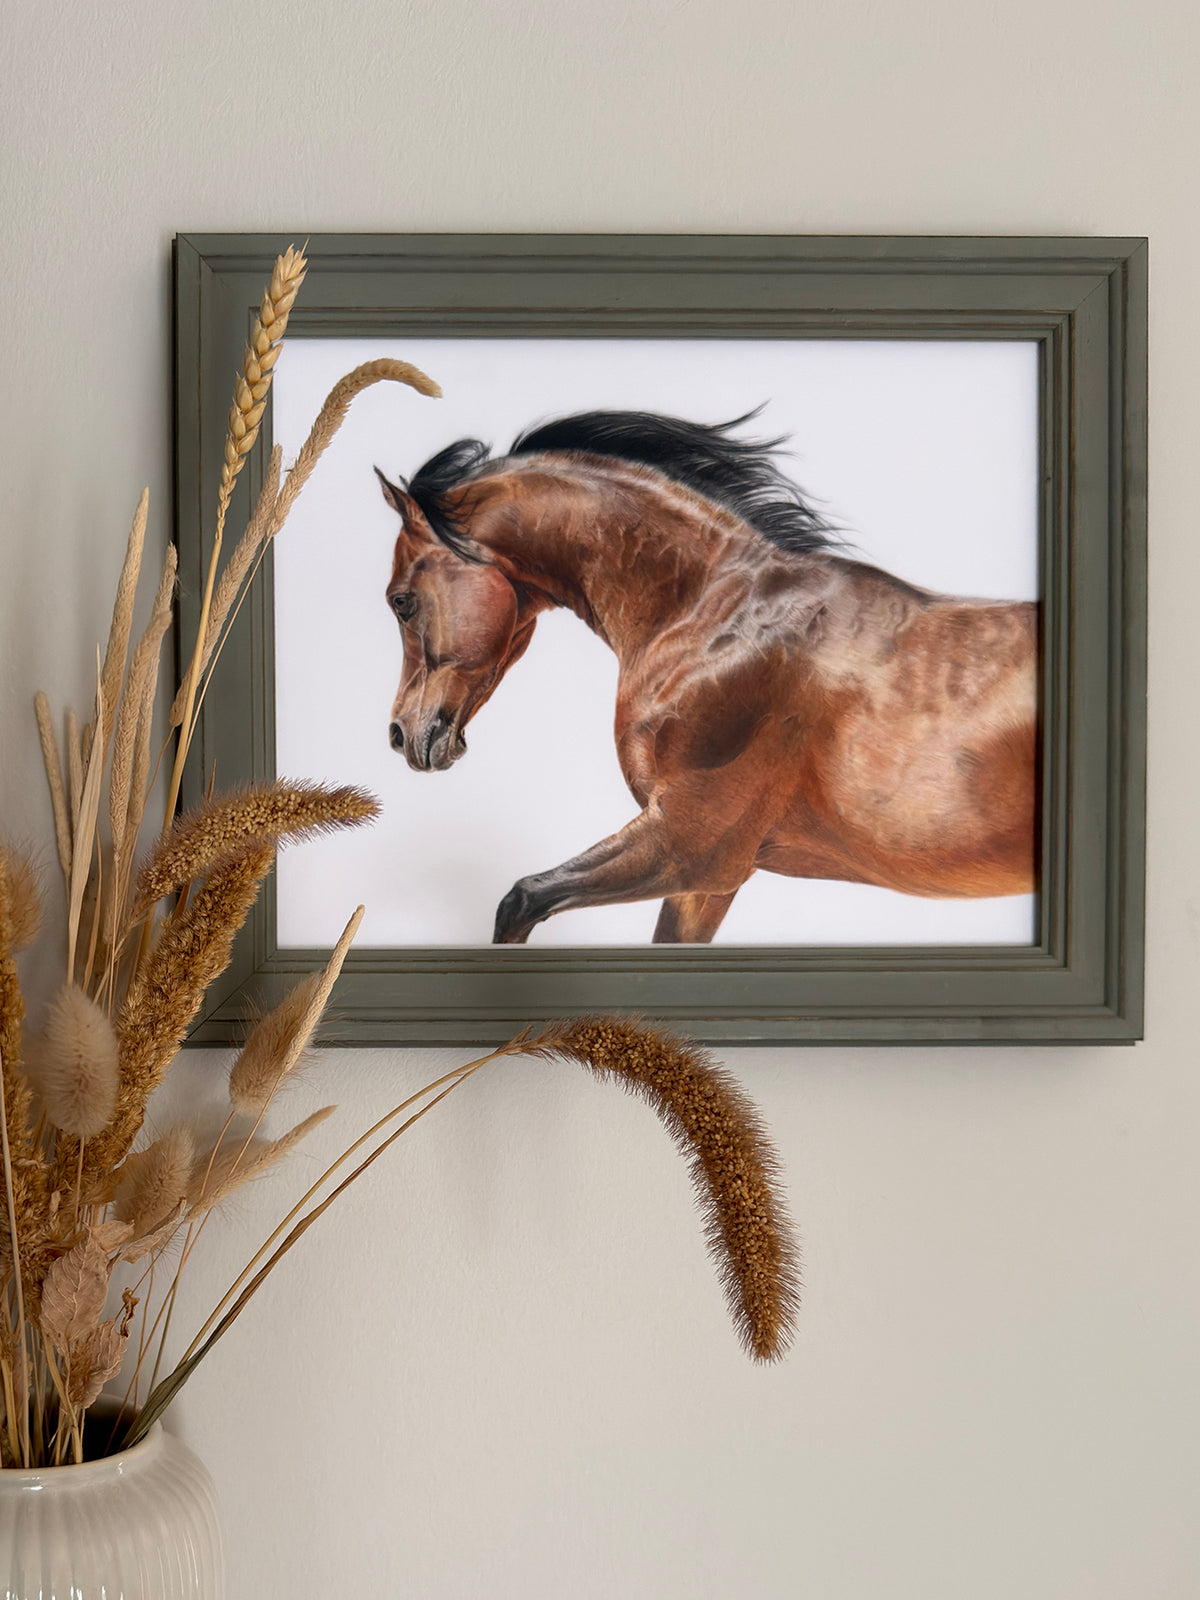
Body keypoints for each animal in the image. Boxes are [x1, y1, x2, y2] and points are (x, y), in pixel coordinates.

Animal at [374, 410, 1038, 945]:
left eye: (400, 601)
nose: (402, 735)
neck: (715, 615)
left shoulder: (690, 846)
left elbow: (521, 901)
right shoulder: (706, 883)